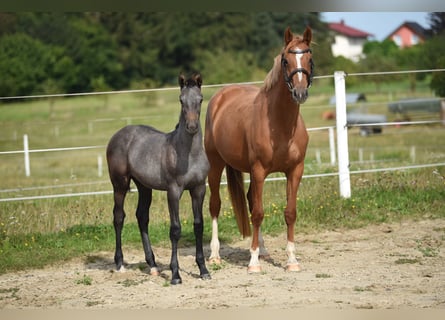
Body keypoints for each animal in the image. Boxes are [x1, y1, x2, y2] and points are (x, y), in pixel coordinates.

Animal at [204, 26, 312, 272]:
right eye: (285, 60)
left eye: (309, 58)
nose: (300, 93)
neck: (280, 126)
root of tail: (221, 97)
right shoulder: (260, 170)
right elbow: (259, 214)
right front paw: (253, 263)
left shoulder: (295, 171)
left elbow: (289, 213)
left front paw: (292, 260)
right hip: (215, 165)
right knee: (215, 205)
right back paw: (215, 255)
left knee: (251, 201)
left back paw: (262, 250)